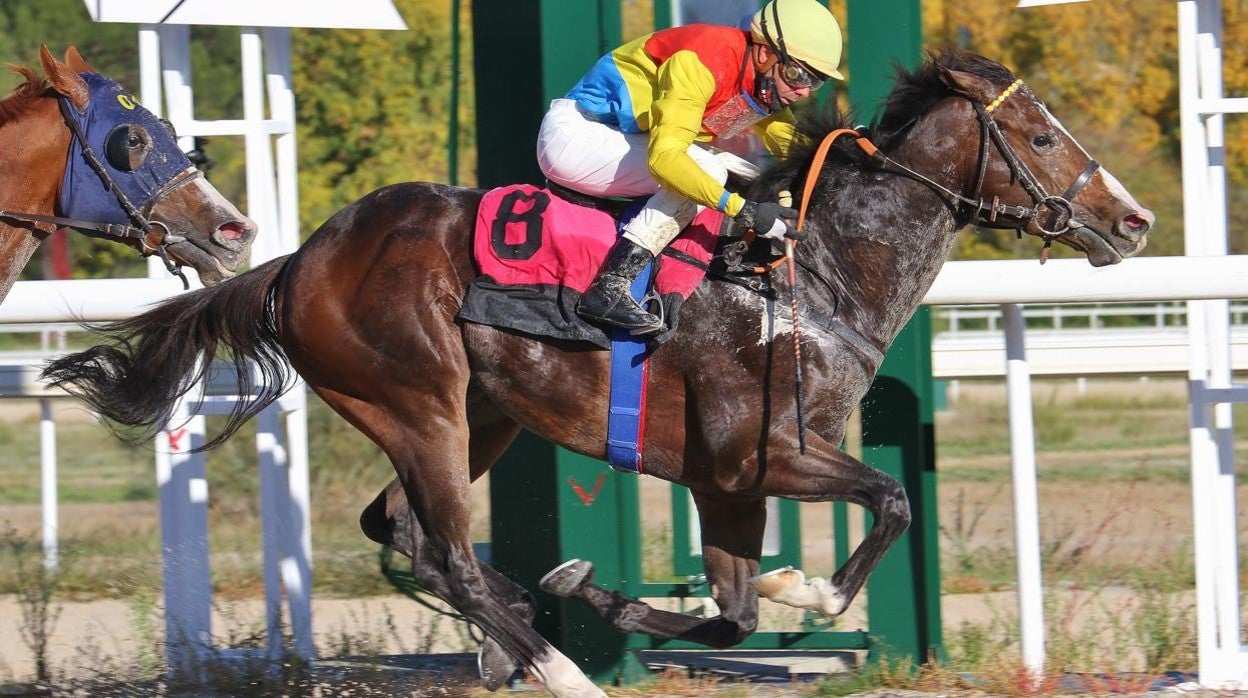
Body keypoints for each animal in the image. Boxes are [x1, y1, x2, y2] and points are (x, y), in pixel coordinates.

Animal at [41, 50, 1148, 698]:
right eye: (1041, 135)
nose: (1134, 220)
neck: (814, 271)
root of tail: (298, 261)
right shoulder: (763, 452)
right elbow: (888, 501)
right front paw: (810, 585)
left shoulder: (725, 478)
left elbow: (735, 610)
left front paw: (618, 591)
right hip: (420, 403)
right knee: (442, 548)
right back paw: (557, 666)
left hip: (476, 415)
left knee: (406, 530)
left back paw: (522, 624)